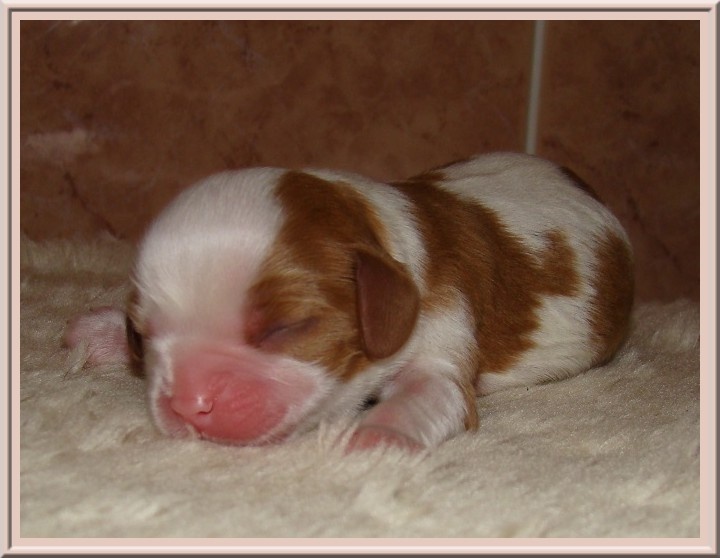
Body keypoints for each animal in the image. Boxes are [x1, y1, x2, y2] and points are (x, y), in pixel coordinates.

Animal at [64, 152, 634, 451]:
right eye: (140, 336)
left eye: (284, 328)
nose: (189, 403)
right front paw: (98, 331)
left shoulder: (445, 326)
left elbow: (431, 391)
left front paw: (372, 434)